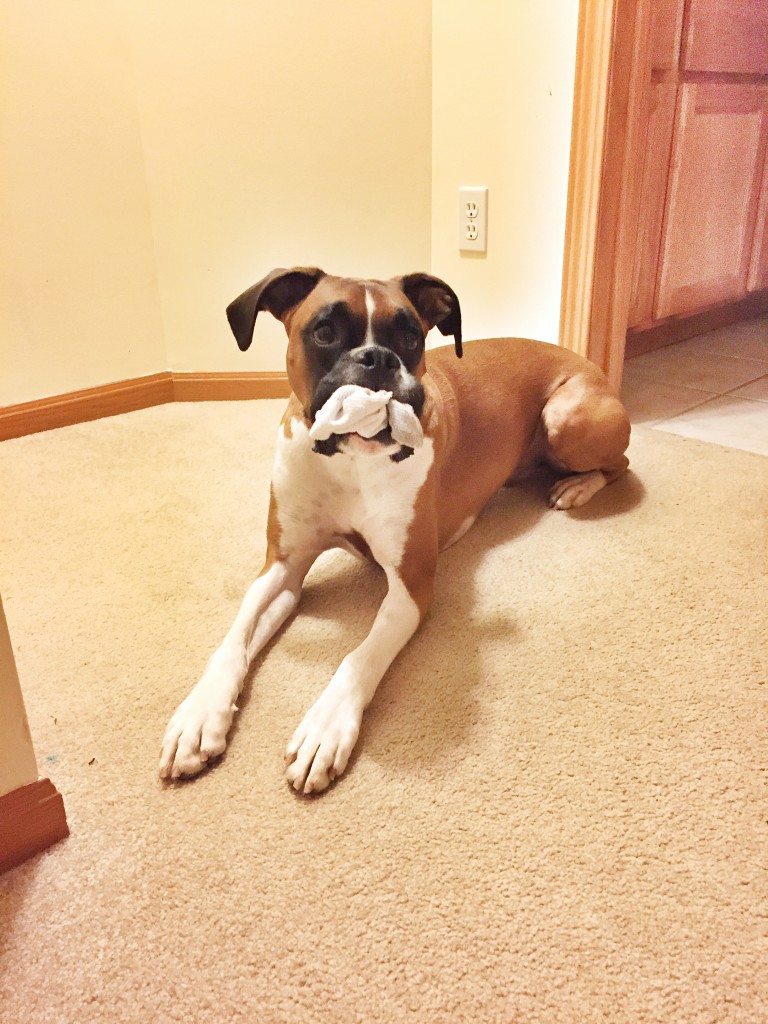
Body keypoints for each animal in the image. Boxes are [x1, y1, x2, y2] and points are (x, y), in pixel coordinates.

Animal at [160, 268, 630, 794]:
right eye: (324, 332)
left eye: (410, 337)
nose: (377, 359)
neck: (349, 463)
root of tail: (588, 362)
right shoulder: (282, 568)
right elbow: (234, 640)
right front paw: (200, 714)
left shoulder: (411, 585)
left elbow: (360, 654)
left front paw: (326, 726)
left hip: (566, 417)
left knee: (621, 464)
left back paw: (576, 487)